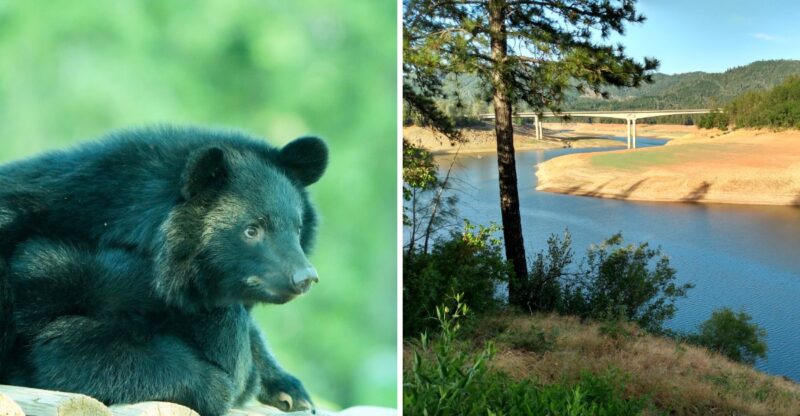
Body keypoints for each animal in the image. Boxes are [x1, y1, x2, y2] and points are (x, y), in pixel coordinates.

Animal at [0, 126, 328, 415]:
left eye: (297, 228)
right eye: (252, 230)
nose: (304, 277)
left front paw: (289, 390)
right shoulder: (58, 274)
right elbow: (64, 349)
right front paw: (220, 384)